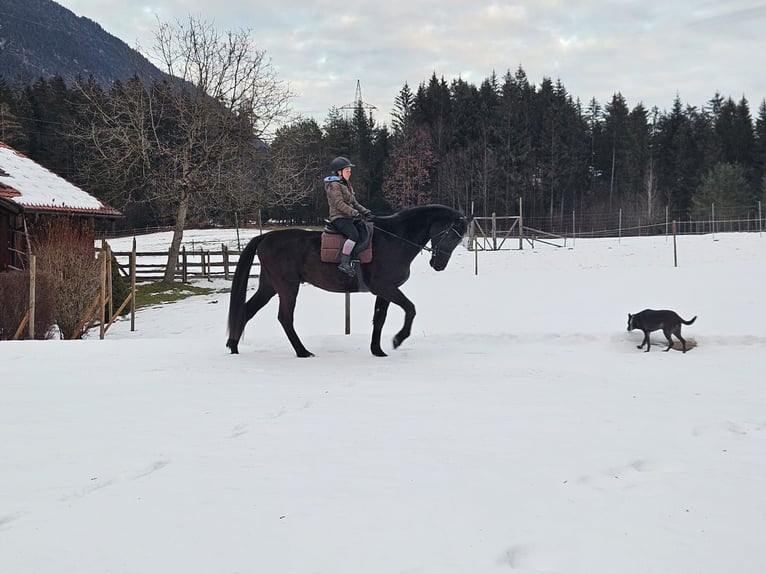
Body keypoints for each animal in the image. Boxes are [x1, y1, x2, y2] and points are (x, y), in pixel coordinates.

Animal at [228, 205, 468, 358]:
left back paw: (233, 346)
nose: (438, 265)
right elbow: (410, 309)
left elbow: (379, 318)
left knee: (247, 310)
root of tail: (265, 237)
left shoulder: (385, 291)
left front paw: (377, 350)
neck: (394, 238)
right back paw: (302, 352)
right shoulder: (386, 288)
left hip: (269, 286)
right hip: (287, 287)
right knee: (285, 318)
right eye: (451, 235)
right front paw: (398, 339)